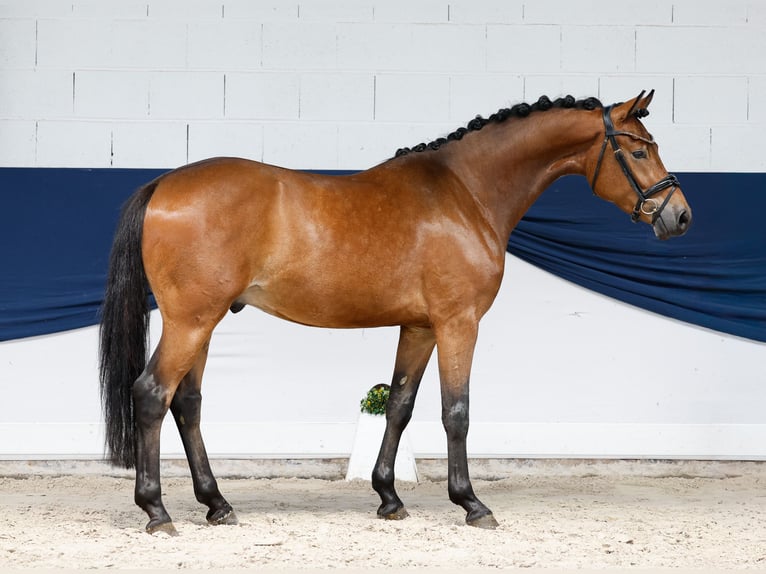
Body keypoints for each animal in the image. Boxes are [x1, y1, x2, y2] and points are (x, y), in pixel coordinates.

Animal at [99, 90, 691, 535]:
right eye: (640, 151)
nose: (679, 216)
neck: (465, 193)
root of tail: (163, 183)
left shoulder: (420, 326)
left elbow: (400, 407)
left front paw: (387, 496)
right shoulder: (458, 323)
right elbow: (457, 412)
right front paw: (471, 503)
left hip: (203, 322)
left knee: (187, 404)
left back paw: (217, 504)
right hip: (192, 320)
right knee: (151, 394)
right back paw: (157, 510)